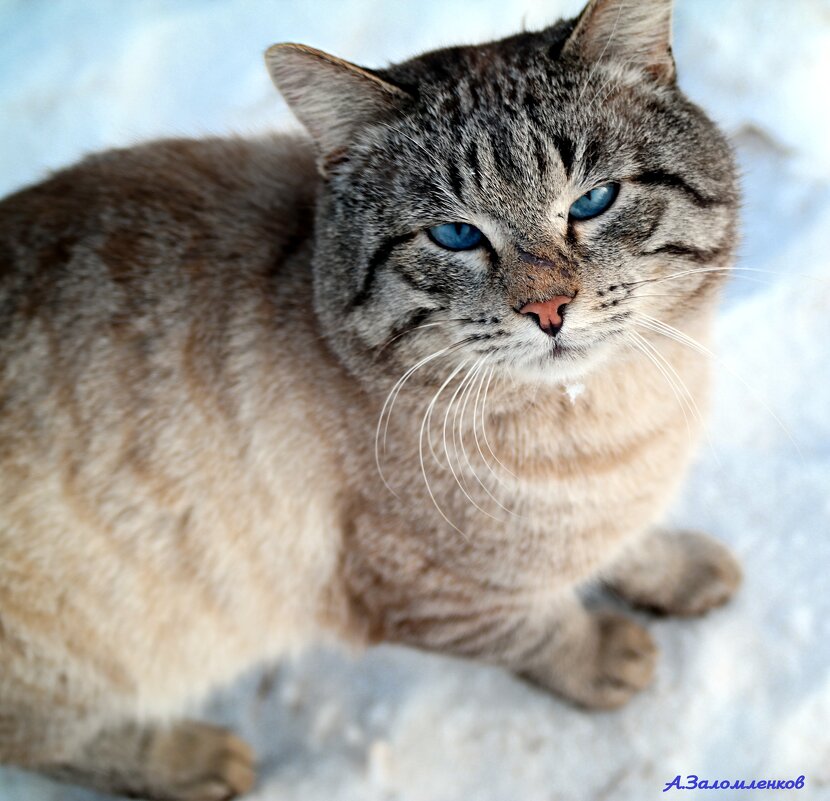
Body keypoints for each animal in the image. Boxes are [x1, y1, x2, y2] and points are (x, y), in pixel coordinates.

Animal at [0, 0, 740, 796]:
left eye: (594, 201)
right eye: (455, 235)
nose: (548, 310)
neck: (610, 411)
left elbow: (626, 542)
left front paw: (680, 570)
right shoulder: (429, 595)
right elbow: (539, 628)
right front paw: (605, 655)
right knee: (52, 741)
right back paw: (196, 760)